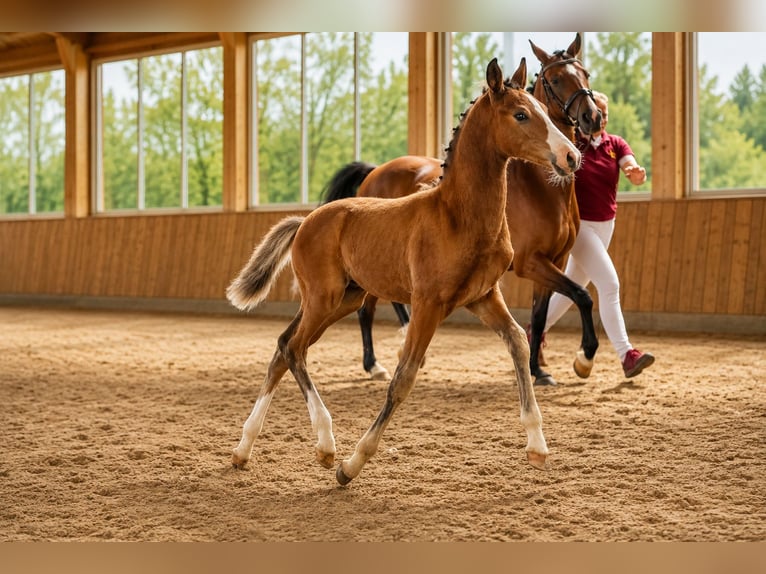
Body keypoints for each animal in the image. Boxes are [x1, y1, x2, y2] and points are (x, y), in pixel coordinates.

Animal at [227, 57, 580, 485]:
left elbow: (518, 342)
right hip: (324, 299)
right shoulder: (428, 303)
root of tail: (306, 220)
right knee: (294, 349)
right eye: (521, 114)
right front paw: (352, 464)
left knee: (283, 348)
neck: (458, 216)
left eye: (543, 109)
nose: (571, 157)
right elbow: (404, 377)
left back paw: (244, 450)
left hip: (342, 300)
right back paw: (326, 445)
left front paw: (538, 446)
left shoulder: (483, 297)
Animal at [320, 34, 601, 386]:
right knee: (366, 310)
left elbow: (541, 314)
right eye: (555, 79)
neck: (539, 189)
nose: (592, 118)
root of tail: (374, 172)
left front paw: (538, 368)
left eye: (585, 73)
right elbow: (582, 296)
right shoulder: (531, 263)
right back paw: (374, 364)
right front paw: (585, 357)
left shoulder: (555, 261)